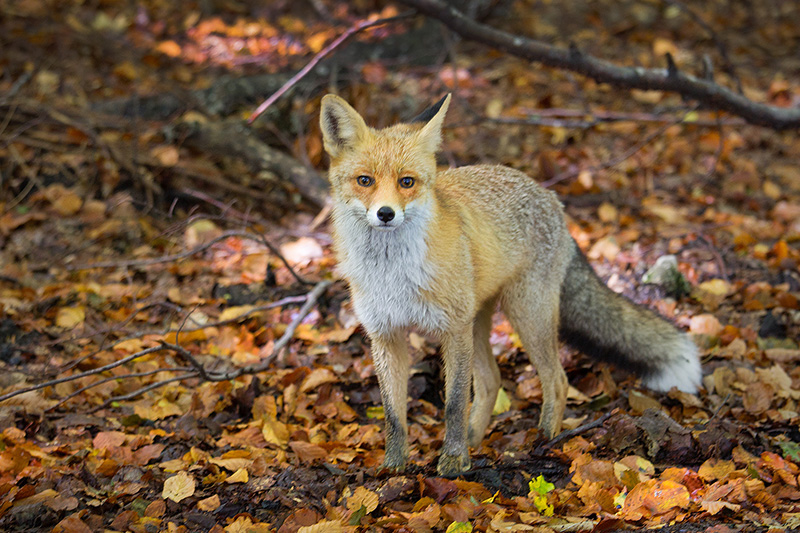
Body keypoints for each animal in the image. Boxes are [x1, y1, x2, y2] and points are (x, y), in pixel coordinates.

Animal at [318, 93, 700, 476]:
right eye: (364, 180)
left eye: (407, 182)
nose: (385, 214)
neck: (394, 273)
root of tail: (551, 197)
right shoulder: (386, 334)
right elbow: (393, 413)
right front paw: (394, 467)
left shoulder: (453, 329)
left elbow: (454, 403)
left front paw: (453, 461)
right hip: (481, 321)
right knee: (492, 381)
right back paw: (476, 441)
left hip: (525, 314)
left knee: (557, 380)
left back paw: (545, 440)